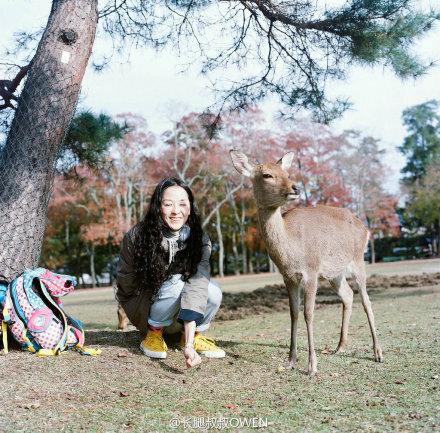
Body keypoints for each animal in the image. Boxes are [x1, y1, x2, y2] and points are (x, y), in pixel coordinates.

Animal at [230, 148, 382, 374]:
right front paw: (291, 361)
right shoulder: (288, 277)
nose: (296, 187)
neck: (291, 249)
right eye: (267, 174)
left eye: (287, 173)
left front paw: (312, 366)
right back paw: (339, 347)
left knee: (366, 300)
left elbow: (308, 314)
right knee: (348, 295)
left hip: (358, 260)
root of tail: (365, 228)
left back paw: (378, 353)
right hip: (335, 273)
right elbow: (293, 313)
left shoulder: (311, 271)